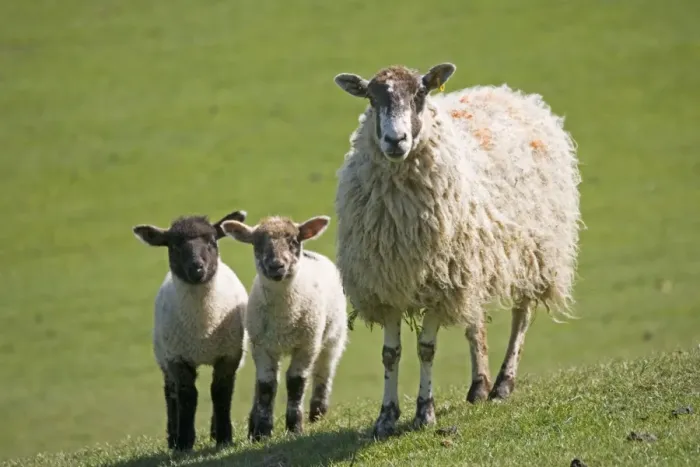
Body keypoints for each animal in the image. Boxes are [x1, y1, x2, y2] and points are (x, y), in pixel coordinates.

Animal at [132, 209, 249, 451]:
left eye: (212, 241)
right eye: (174, 246)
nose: (196, 268)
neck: (203, 325)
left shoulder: (229, 355)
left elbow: (220, 392)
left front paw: (224, 438)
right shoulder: (177, 358)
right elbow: (187, 396)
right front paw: (184, 442)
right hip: (163, 354)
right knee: (171, 393)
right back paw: (173, 437)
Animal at [220, 214, 348, 441]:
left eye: (294, 241)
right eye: (257, 243)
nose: (276, 266)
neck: (284, 317)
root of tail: (312, 254)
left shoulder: (307, 345)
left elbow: (296, 382)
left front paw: (295, 427)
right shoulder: (262, 346)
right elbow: (266, 386)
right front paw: (262, 432)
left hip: (334, 336)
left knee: (324, 370)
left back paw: (317, 413)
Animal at [333, 62, 582, 438]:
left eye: (420, 94)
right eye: (371, 99)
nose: (395, 140)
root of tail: (510, 94)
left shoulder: (441, 285)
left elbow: (426, 348)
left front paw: (425, 413)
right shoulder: (387, 284)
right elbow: (390, 353)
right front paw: (386, 417)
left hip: (535, 251)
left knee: (521, 316)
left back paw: (503, 385)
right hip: (471, 264)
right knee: (474, 322)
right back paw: (479, 386)